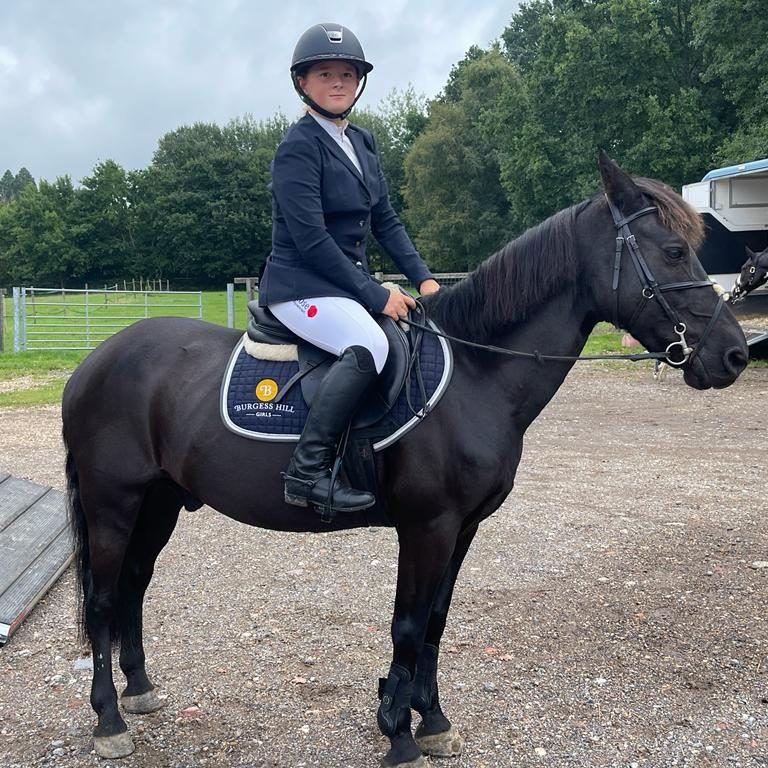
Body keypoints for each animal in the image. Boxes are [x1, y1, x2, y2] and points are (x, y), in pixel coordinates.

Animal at [63, 153, 748, 764]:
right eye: (673, 252)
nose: (736, 355)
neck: (478, 371)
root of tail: (94, 363)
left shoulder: (463, 528)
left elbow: (437, 621)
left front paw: (432, 720)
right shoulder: (427, 526)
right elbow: (409, 625)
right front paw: (397, 733)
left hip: (158, 502)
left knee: (133, 586)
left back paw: (140, 690)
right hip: (113, 504)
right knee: (102, 599)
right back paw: (109, 722)